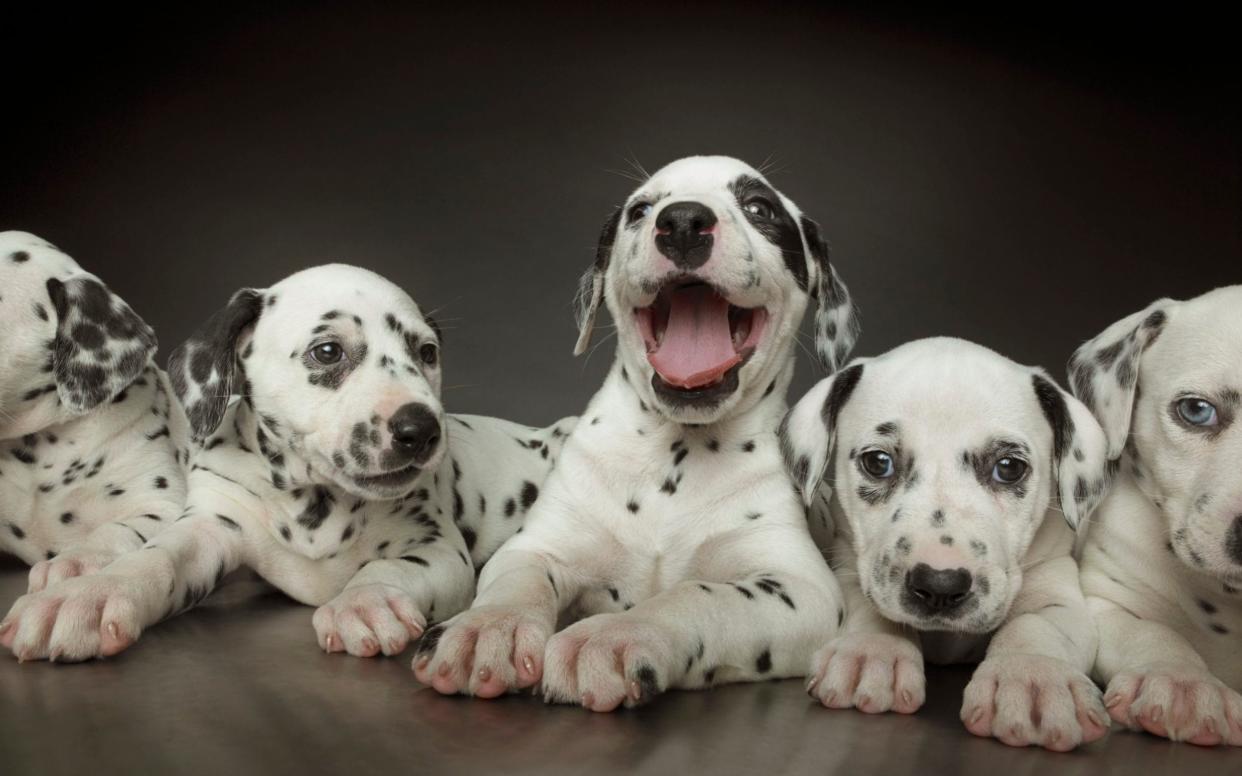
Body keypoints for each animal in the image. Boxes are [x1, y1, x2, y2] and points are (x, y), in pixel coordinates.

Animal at [412, 154, 859, 710]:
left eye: (760, 207)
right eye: (641, 210)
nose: (683, 221)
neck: (676, 454)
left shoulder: (801, 587)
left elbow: (695, 595)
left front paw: (614, 635)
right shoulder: (538, 546)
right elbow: (518, 581)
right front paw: (486, 627)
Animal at [779, 335, 1112, 749]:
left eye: (1009, 468)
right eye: (877, 462)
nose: (939, 585)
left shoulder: (1055, 587)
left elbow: (1037, 626)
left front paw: (1032, 675)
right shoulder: (847, 564)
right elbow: (866, 603)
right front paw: (871, 650)